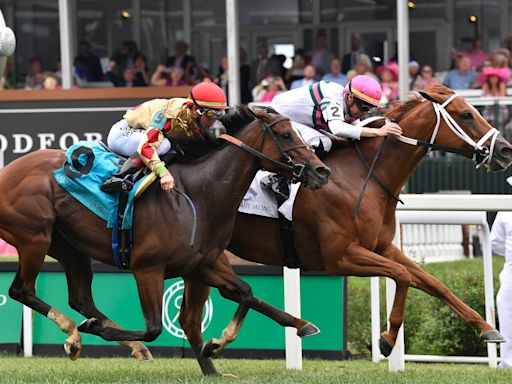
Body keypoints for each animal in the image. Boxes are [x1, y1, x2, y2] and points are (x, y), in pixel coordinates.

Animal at [2, 106, 330, 374]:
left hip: (70, 247)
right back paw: (76, 331)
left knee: (81, 299)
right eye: (286, 134)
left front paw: (299, 325)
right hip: (34, 237)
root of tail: (7, 171)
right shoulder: (148, 268)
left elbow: (246, 293)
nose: (322, 171)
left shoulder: (202, 264)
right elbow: (154, 328)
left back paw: (106, 339)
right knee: (22, 290)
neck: (198, 194)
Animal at [179, 85, 512, 368]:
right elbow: (403, 275)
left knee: (197, 314)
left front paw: (487, 328)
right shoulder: (339, 257)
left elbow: (431, 282)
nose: (506, 150)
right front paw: (386, 340)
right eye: (466, 114)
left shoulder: (381, 247)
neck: (365, 176)